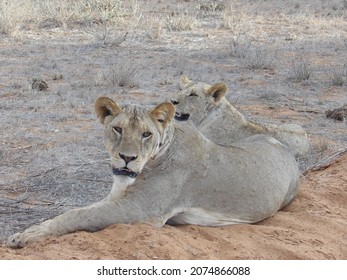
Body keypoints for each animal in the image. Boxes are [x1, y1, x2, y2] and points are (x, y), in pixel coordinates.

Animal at [5, 96, 300, 247]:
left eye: (146, 134)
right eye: (118, 129)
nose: (127, 158)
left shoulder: (139, 211)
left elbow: (78, 216)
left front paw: (26, 237)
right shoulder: (116, 198)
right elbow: (74, 211)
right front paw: (29, 231)